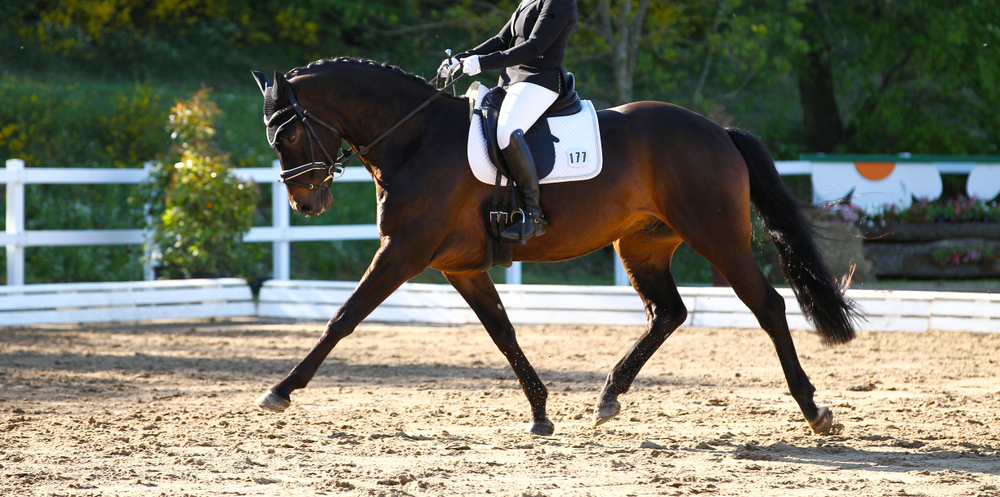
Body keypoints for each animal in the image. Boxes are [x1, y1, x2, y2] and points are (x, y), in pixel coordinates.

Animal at [250, 58, 860, 434]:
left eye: (289, 133)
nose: (305, 204)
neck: (415, 138)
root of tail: (717, 131)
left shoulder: (403, 251)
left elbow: (343, 317)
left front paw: (280, 390)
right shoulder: (458, 267)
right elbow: (502, 332)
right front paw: (541, 412)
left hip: (717, 237)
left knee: (769, 306)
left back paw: (813, 408)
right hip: (641, 246)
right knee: (668, 312)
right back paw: (609, 396)